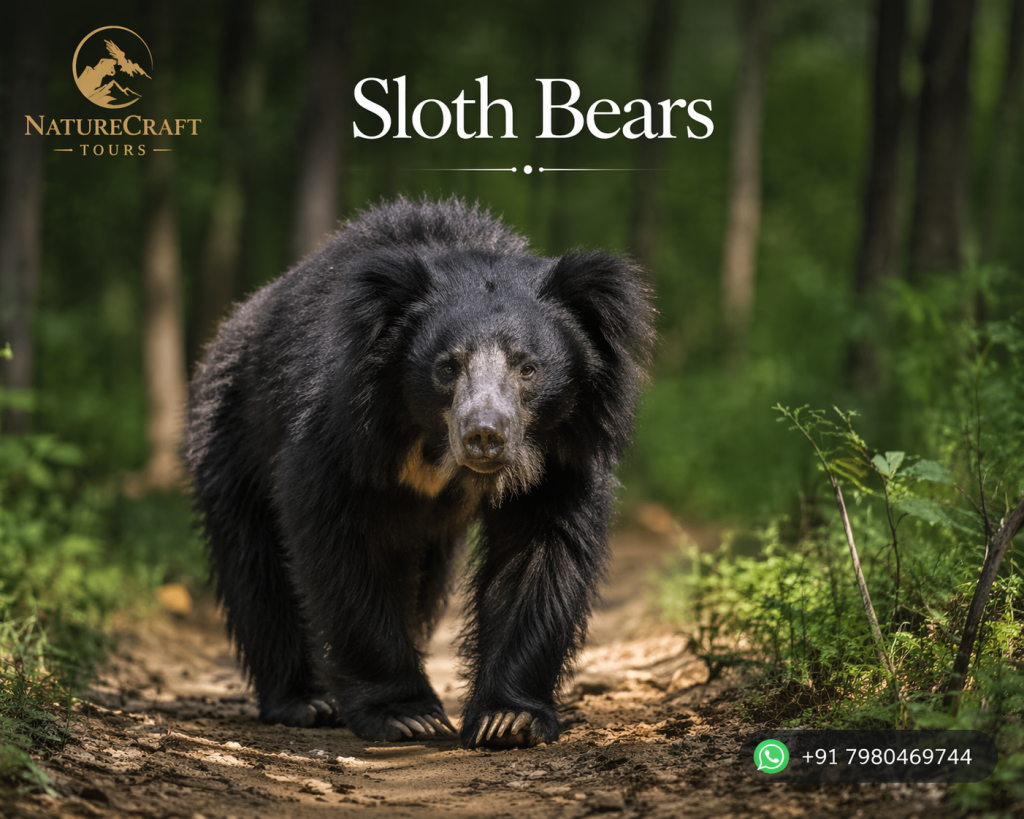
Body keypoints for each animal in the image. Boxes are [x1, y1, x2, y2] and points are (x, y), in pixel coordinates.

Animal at [184, 197, 654, 749]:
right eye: (448, 367)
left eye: (527, 368)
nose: (485, 434)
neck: (435, 447)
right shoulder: (341, 432)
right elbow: (341, 548)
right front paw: (407, 716)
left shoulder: (562, 453)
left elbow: (540, 553)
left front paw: (507, 719)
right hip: (232, 436)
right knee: (256, 565)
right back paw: (305, 701)